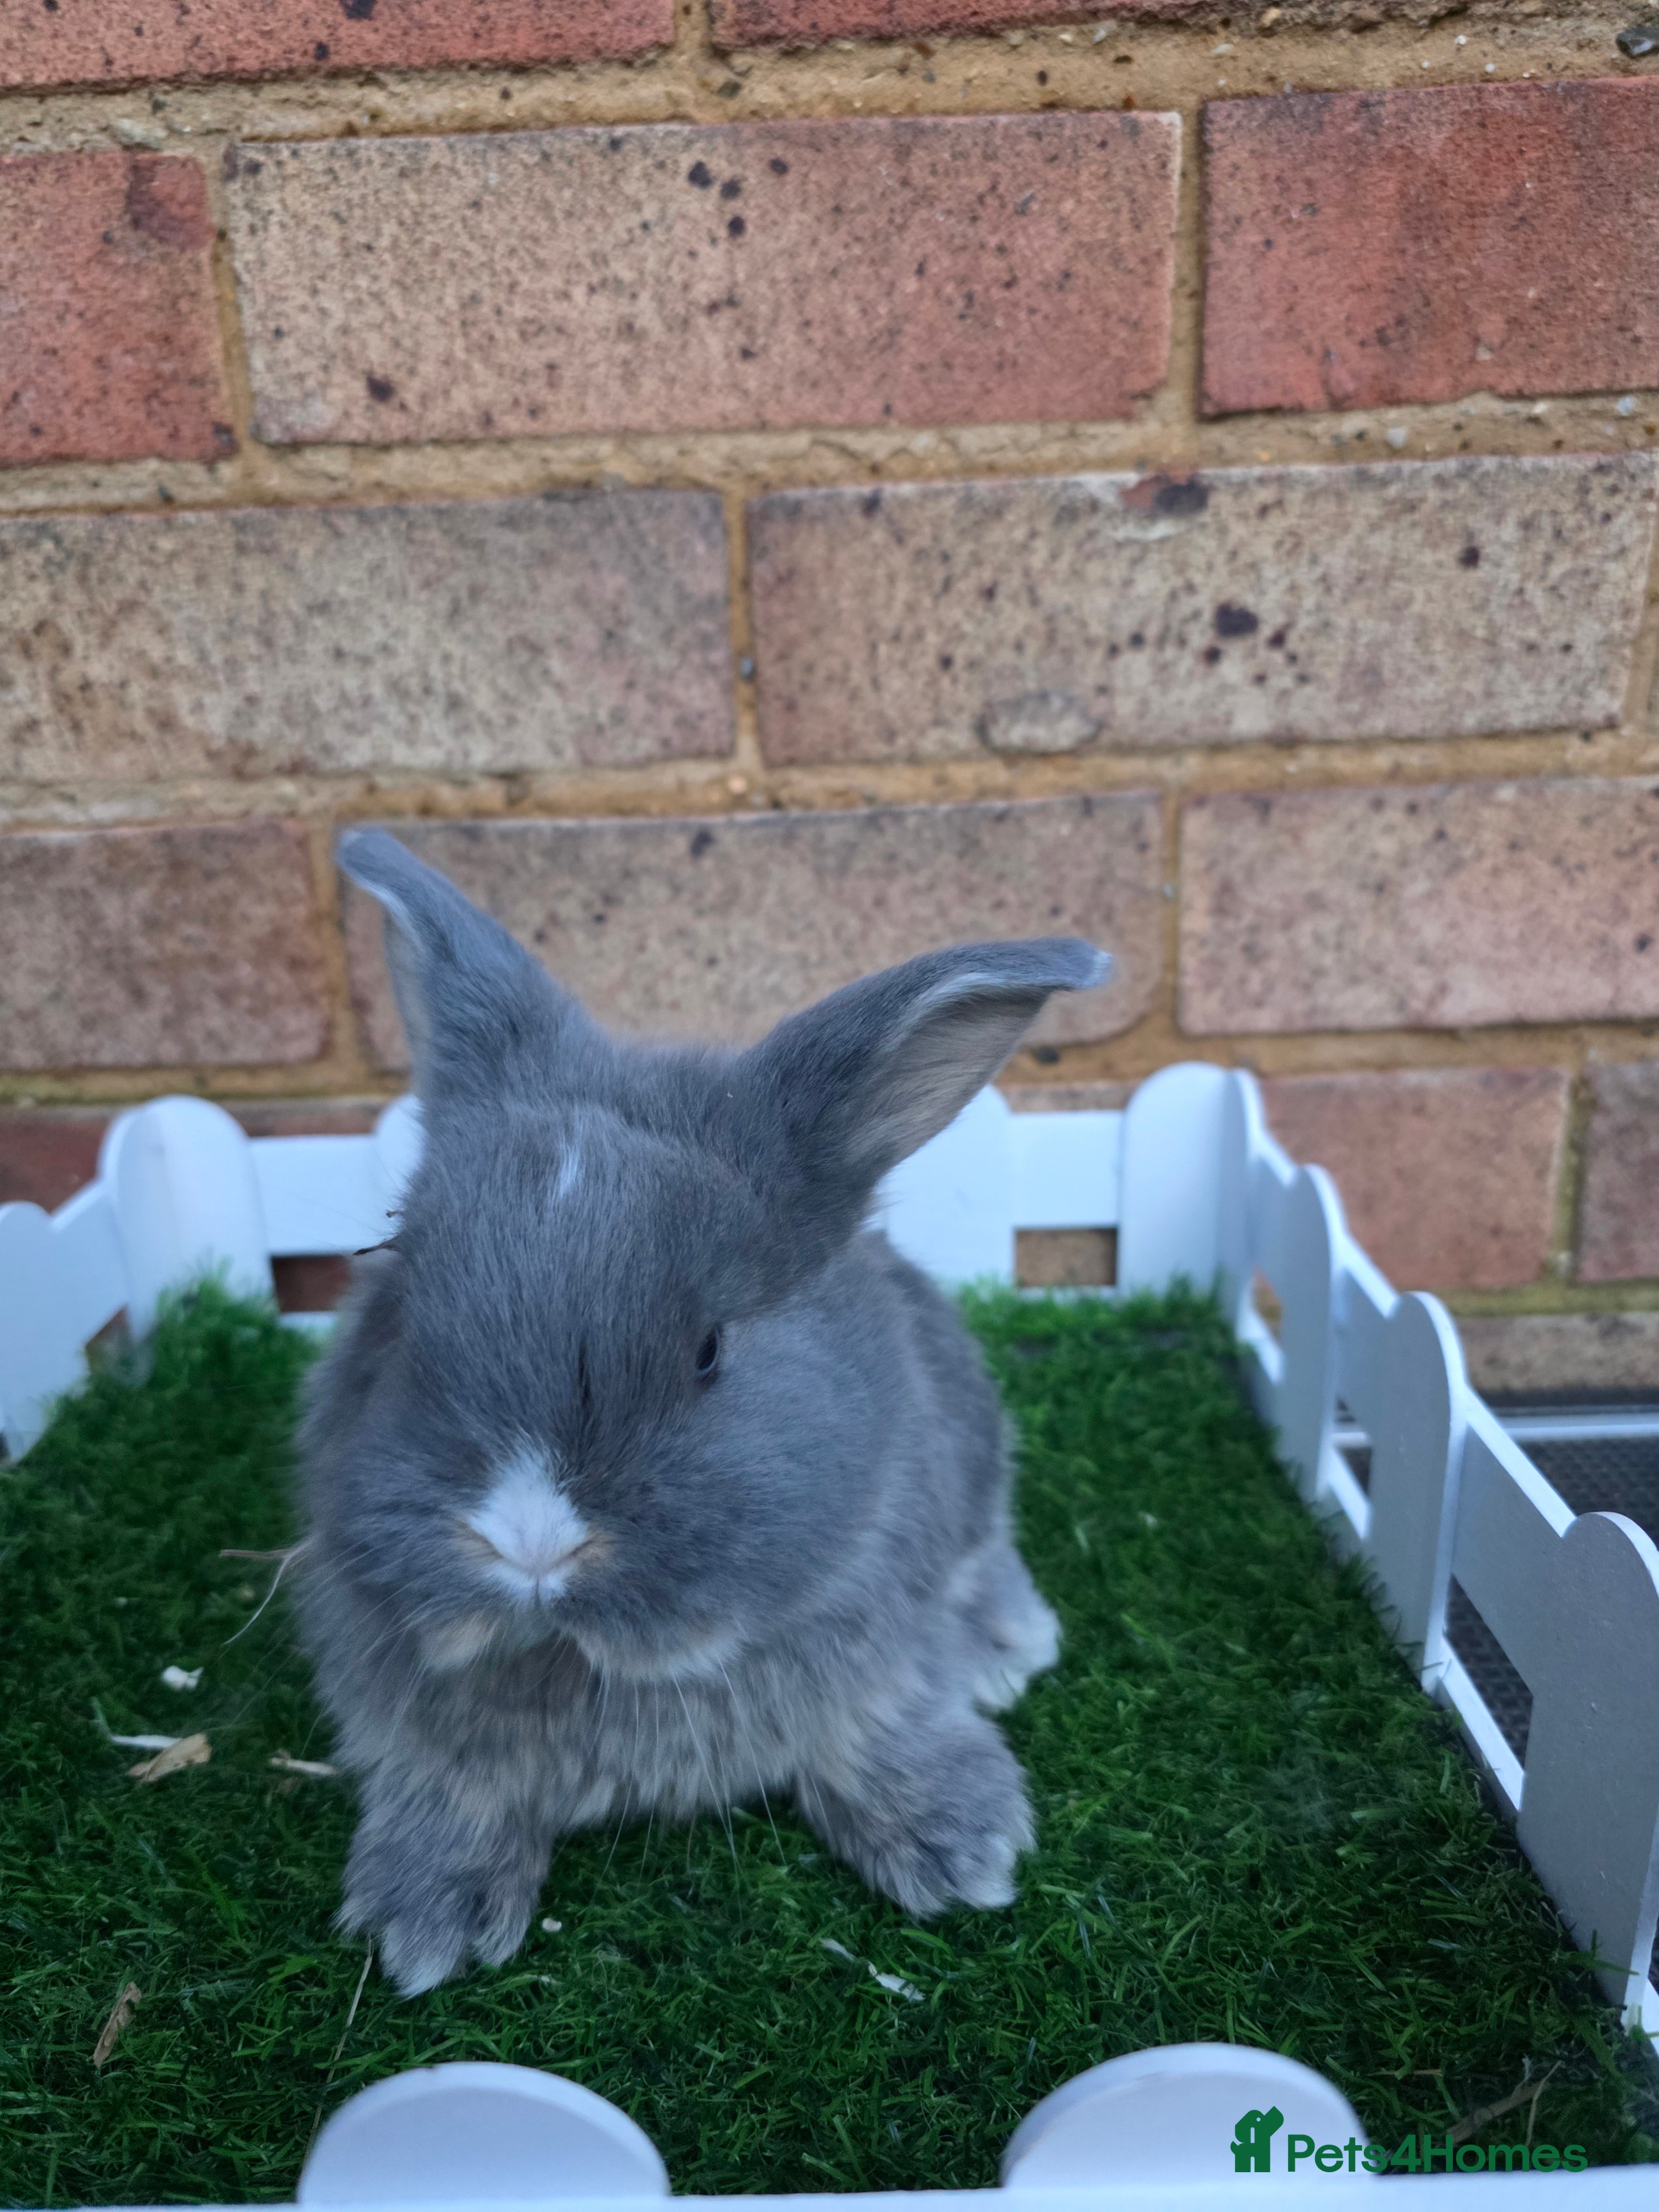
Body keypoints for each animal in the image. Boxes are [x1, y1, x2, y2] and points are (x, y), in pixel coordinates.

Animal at [295, 827, 1109, 1994]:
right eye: (402, 1302)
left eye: (710, 1349)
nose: (529, 1541)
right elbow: (453, 1790)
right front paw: (425, 1925)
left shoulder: (883, 1654)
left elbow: (884, 1726)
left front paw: (964, 1850)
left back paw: (1010, 1642)